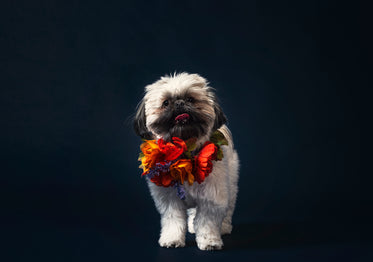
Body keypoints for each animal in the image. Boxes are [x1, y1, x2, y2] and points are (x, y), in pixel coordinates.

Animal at [133, 72, 238, 251]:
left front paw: (209, 241)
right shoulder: (170, 200)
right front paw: (172, 239)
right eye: (166, 103)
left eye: (190, 99)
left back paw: (224, 227)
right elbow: (173, 220)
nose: (179, 103)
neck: (185, 153)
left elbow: (207, 221)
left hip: (229, 184)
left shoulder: (211, 197)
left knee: (228, 208)